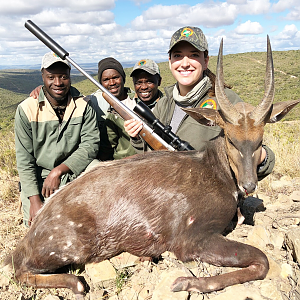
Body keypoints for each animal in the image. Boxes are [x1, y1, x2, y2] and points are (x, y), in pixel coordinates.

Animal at [2, 37, 300, 298]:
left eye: (260, 140)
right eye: (230, 138)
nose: (248, 185)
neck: (217, 171)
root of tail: (33, 230)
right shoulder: (191, 238)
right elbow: (262, 260)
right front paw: (183, 282)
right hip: (69, 247)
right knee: (20, 269)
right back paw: (77, 283)